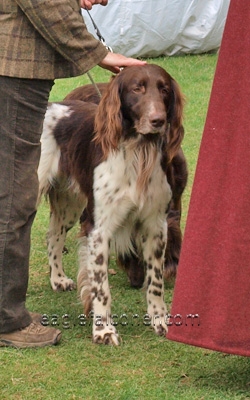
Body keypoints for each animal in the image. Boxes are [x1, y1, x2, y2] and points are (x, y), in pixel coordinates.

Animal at [38, 63, 185, 344]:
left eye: (164, 89)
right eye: (137, 88)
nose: (158, 120)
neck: (139, 153)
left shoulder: (156, 226)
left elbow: (156, 282)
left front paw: (160, 322)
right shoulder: (99, 230)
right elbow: (101, 287)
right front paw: (103, 330)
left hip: (69, 203)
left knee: (54, 237)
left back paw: (58, 279)